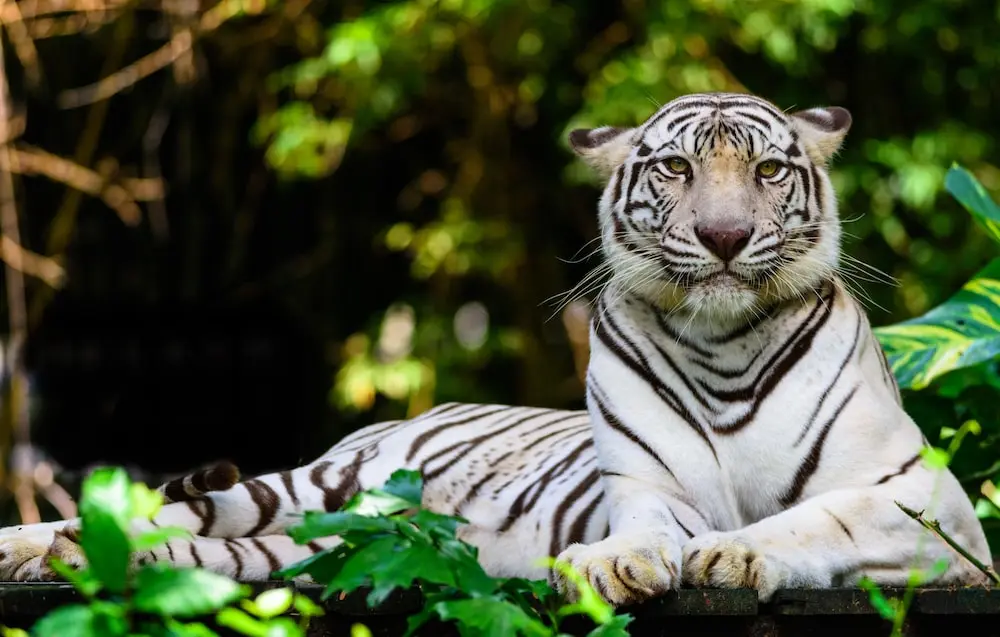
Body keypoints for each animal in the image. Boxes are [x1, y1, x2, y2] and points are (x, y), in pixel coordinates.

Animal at [0, 92, 988, 604]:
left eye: (768, 170)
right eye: (676, 168)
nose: (723, 236)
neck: (722, 345)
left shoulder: (930, 500)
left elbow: (822, 516)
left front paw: (739, 553)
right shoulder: (646, 488)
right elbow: (646, 528)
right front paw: (616, 562)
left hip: (321, 543)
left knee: (200, 549)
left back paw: (77, 557)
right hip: (317, 487)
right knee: (166, 512)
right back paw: (43, 547)